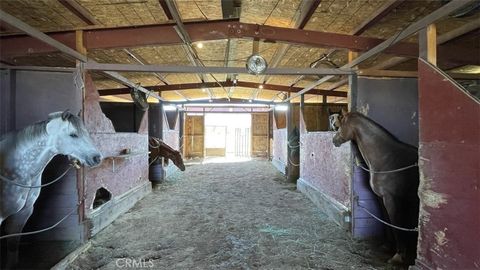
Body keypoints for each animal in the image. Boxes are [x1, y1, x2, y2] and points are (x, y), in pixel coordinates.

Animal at [332, 108, 418, 264]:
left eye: (339, 126)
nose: (334, 140)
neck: (387, 158)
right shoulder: (381, 198)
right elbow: (387, 222)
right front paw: (388, 246)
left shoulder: (391, 199)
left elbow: (396, 225)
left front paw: (398, 256)